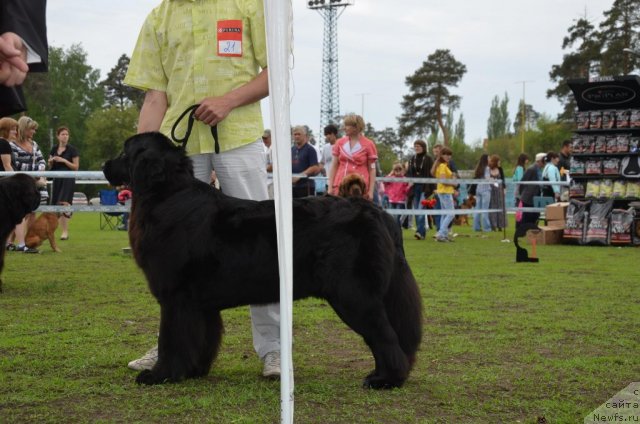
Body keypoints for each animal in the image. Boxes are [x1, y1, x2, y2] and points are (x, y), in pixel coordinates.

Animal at [102, 132, 422, 388]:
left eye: (125, 153)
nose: (105, 165)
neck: (167, 195)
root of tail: (378, 213)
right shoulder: (200, 304)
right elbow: (202, 338)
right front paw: (193, 371)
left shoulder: (176, 297)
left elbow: (171, 339)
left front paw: (160, 375)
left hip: (353, 294)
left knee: (384, 335)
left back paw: (385, 380)